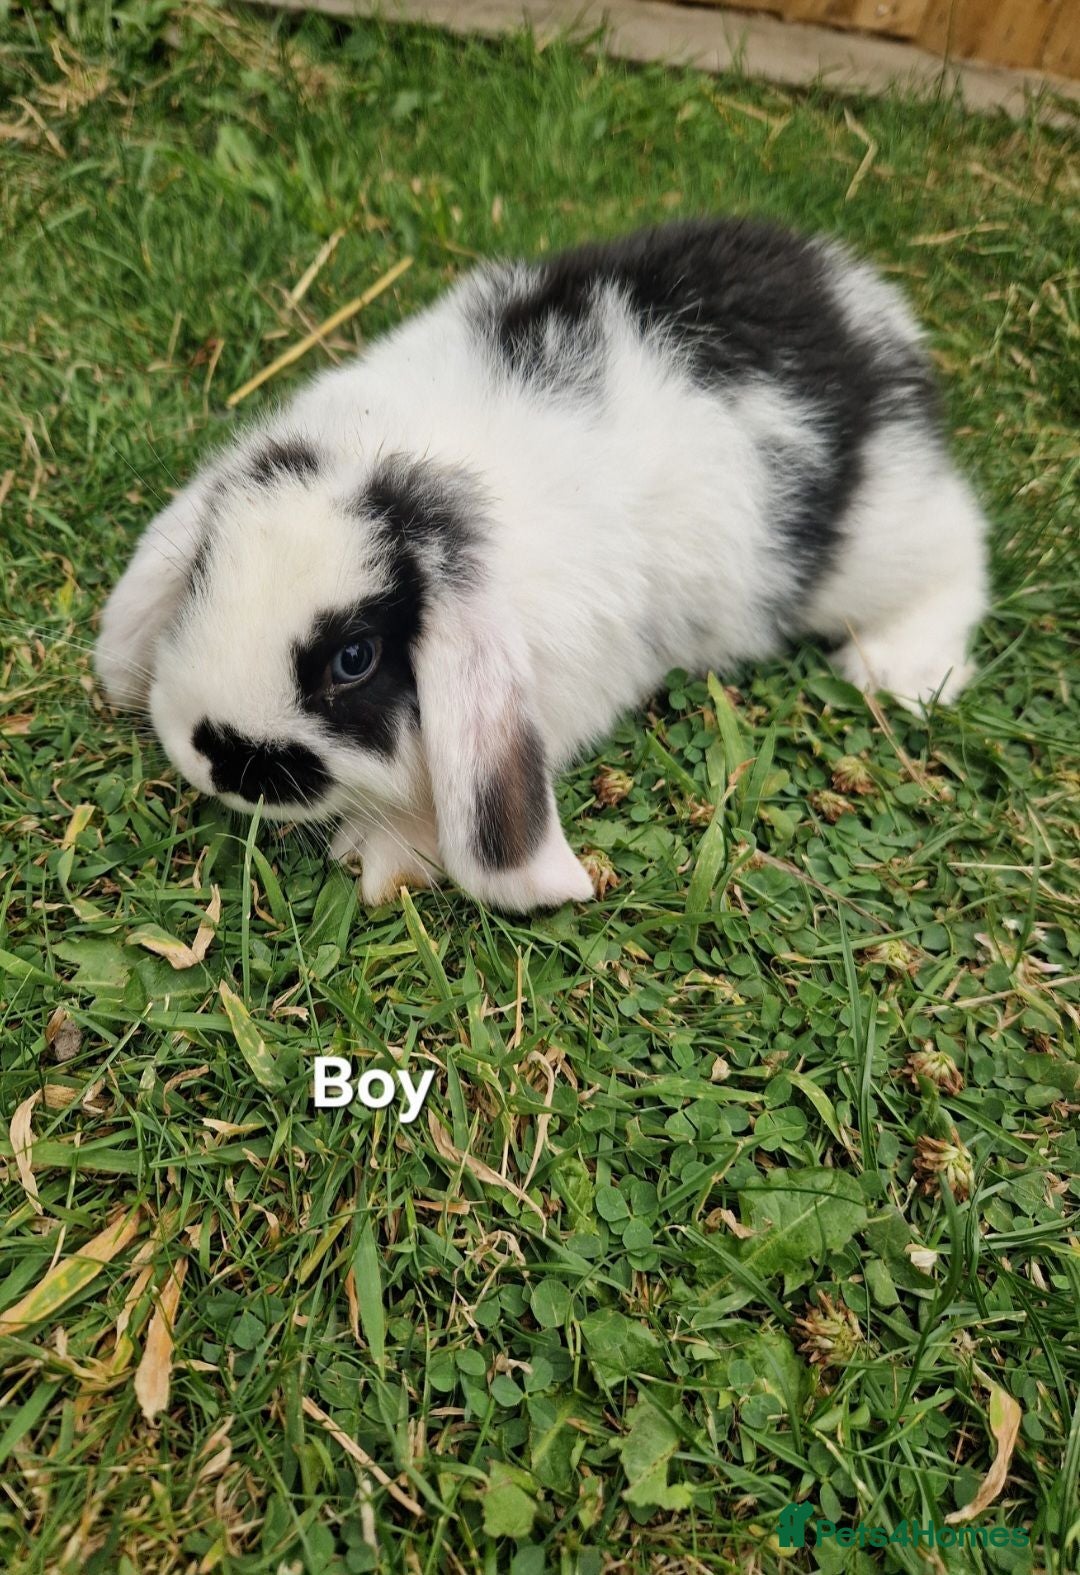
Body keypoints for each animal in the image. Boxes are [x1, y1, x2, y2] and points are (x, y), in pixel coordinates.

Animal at [95, 216, 988, 912]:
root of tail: (863, 303)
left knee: (961, 546)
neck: (422, 466)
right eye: (203, 572)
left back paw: (895, 671)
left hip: (877, 536)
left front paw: (381, 857)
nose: (215, 754)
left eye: (355, 658)